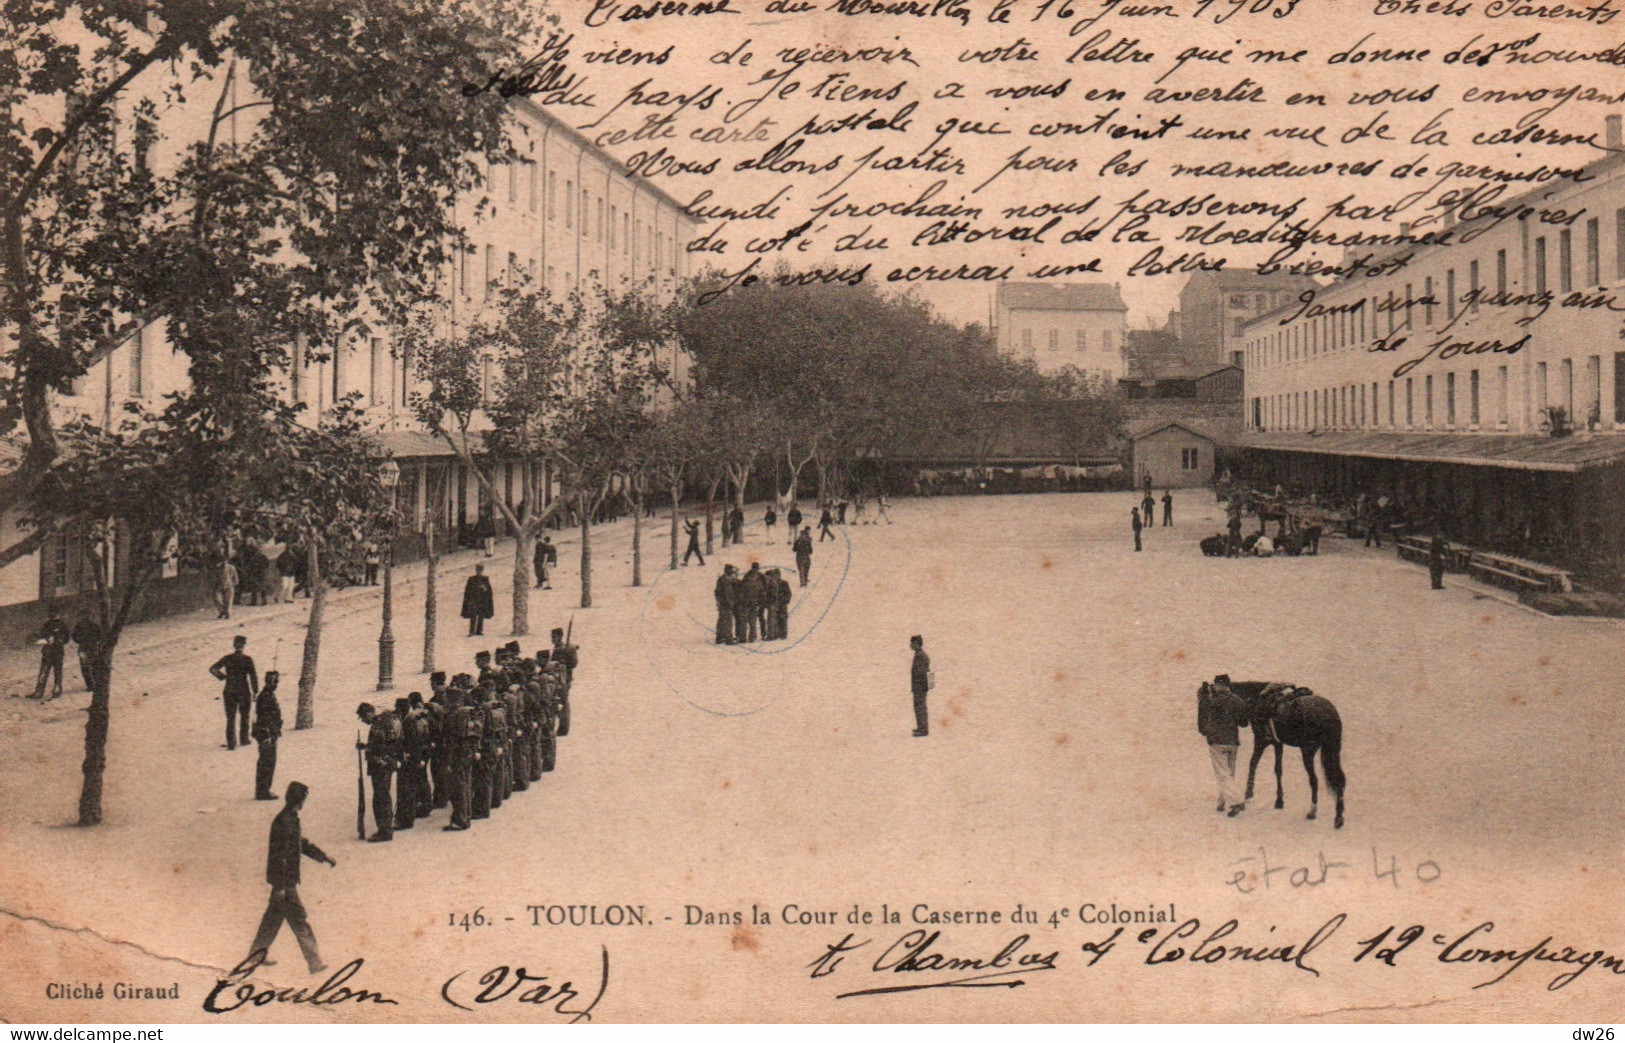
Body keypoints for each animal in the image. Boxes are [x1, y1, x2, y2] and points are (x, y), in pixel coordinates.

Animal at [1228, 679, 1345, 825]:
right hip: (1334, 750)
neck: (1258, 699)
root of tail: (1328, 712)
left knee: (1314, 780)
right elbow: (1278, 770)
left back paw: (1312, 811)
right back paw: (1338, 817)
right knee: (1339, 778)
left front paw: (1247, 796)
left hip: (1308, 752)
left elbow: (1253, 764)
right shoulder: (1278, 743)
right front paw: (1279, 801)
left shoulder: (1261, 741)